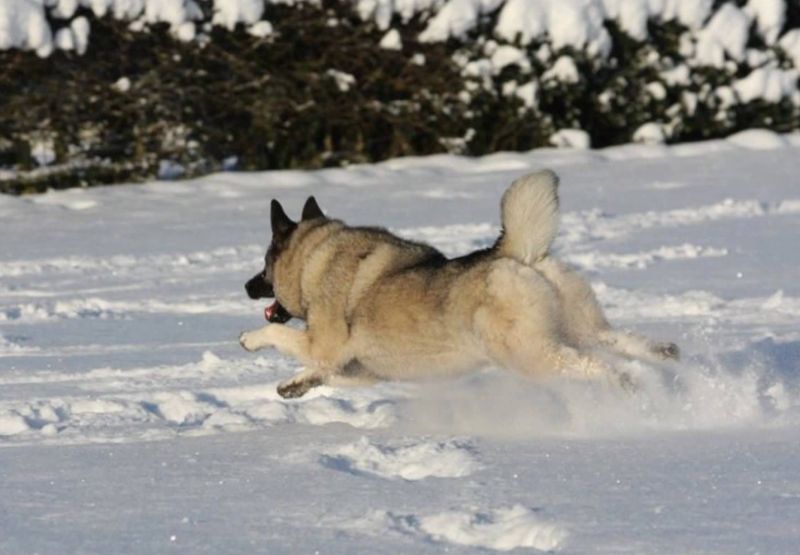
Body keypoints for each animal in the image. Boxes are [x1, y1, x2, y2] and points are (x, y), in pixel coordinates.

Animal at [241, 170, 680, 400]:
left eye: (265, 265)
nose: (246, 286)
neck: (313, 258)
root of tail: (516, 254)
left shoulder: (323, 344)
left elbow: (281, 338)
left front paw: (249, 339)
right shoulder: (358, 369)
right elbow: (320, 373)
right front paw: (294, 385)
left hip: (531, 353)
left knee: (590, 365)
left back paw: (625, 383)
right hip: (580, 327)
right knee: (624, 342)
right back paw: (666, 360)